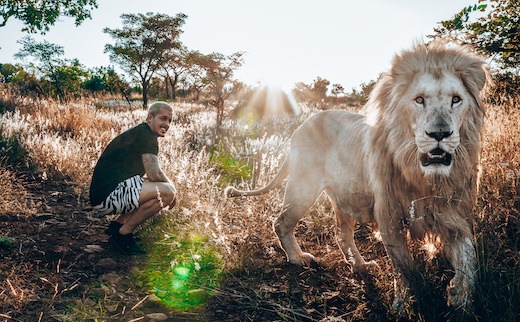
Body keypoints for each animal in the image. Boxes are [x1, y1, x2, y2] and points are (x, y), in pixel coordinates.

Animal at [225, 42, 490, 312]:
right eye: (419, 100)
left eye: (456, 100)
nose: (439, 134)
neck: (425, 177)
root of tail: (300, 126)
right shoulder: (389, 216)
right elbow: (404, 268)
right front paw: (405, 305)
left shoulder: (452, 214)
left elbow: (470, 257)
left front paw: (460, 296)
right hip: (303, 186)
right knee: (281, 222)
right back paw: (298, 258)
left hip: (343, 196)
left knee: (341, 234)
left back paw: (360, 266)